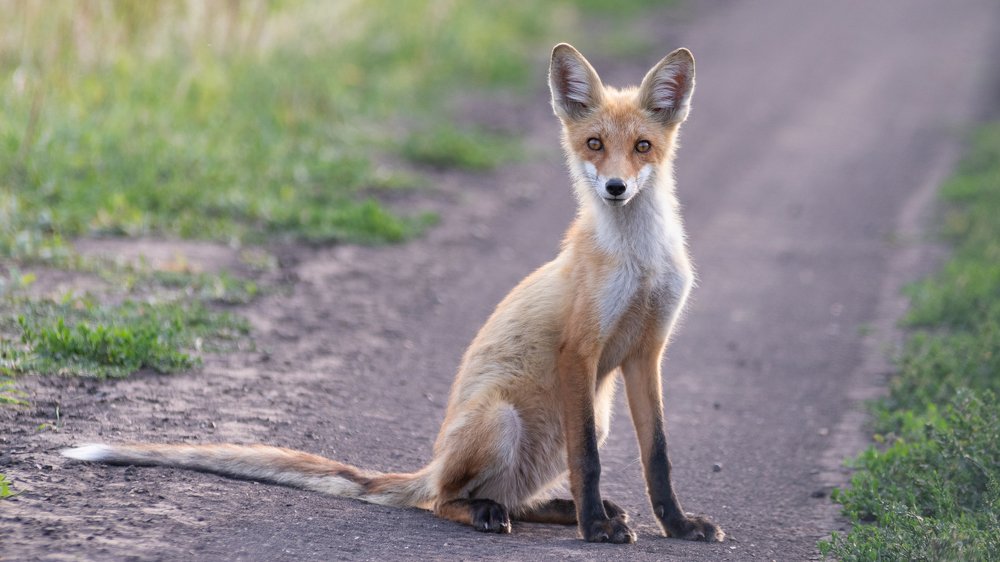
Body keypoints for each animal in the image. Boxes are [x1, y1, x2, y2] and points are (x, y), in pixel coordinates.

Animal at [62, 43, 724, 545]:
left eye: (641, 147)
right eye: (594, 145)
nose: (615, 188)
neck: (638, 262)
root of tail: (432, 466)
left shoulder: (646, 353)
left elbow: (658, 458)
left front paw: (677, 526)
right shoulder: (579, 353)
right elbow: (590, 462)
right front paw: (595, 531)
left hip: (588, 416)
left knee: (509, 497)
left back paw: (554, 510)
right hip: (505, 418)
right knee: (444, 500)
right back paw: (497, 513)